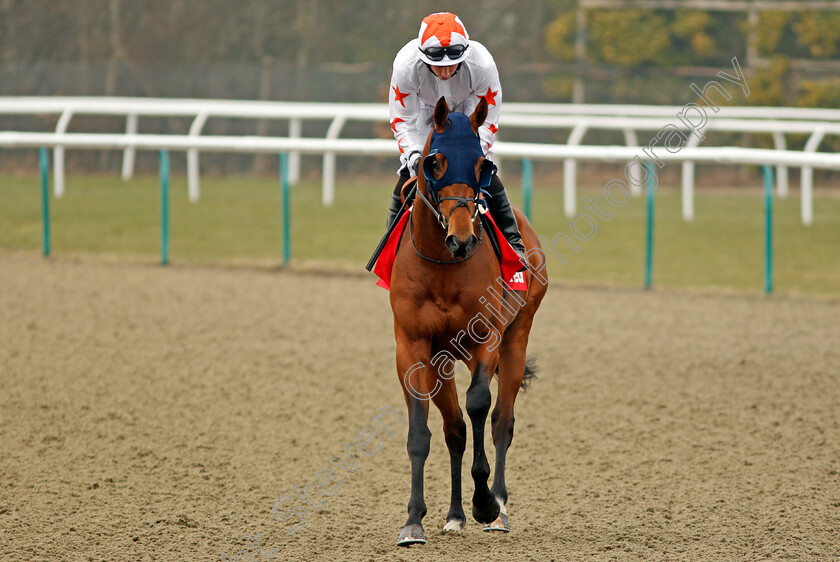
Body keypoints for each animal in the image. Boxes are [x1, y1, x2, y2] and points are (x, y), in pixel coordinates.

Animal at [388, 95, 548, 544]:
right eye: (435, 162)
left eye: (482, 165)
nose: (462, 240)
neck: (443, 266)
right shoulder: (413, 346)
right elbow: (423, 432)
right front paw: (414, 519)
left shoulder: (487, 339)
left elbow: (480, 405)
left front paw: (485, 503)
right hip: (443, 360)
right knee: (455, 430)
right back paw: (455, 514)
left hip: (517, 338)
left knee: (501, 421)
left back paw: (498, 508)